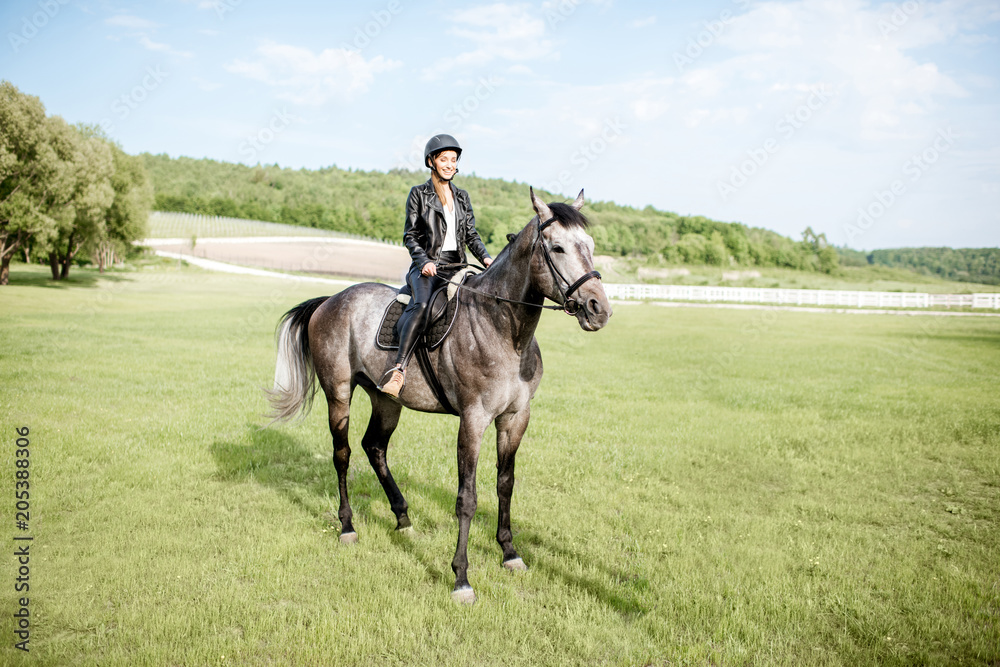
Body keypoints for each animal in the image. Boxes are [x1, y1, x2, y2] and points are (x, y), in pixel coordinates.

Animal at [266, 188, 608, 604]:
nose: (599, 308)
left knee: (374, 447)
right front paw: (461, 578)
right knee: (342, 454)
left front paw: (510, 553)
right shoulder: (473, 420)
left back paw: (402, 517)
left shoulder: (515, 418)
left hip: (386, 400)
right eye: (557, 247)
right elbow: (467, 497)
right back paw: (347, 526)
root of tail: (333, 298)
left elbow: (505, 485)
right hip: (339, 394)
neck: (504, 329)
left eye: (590, 245)